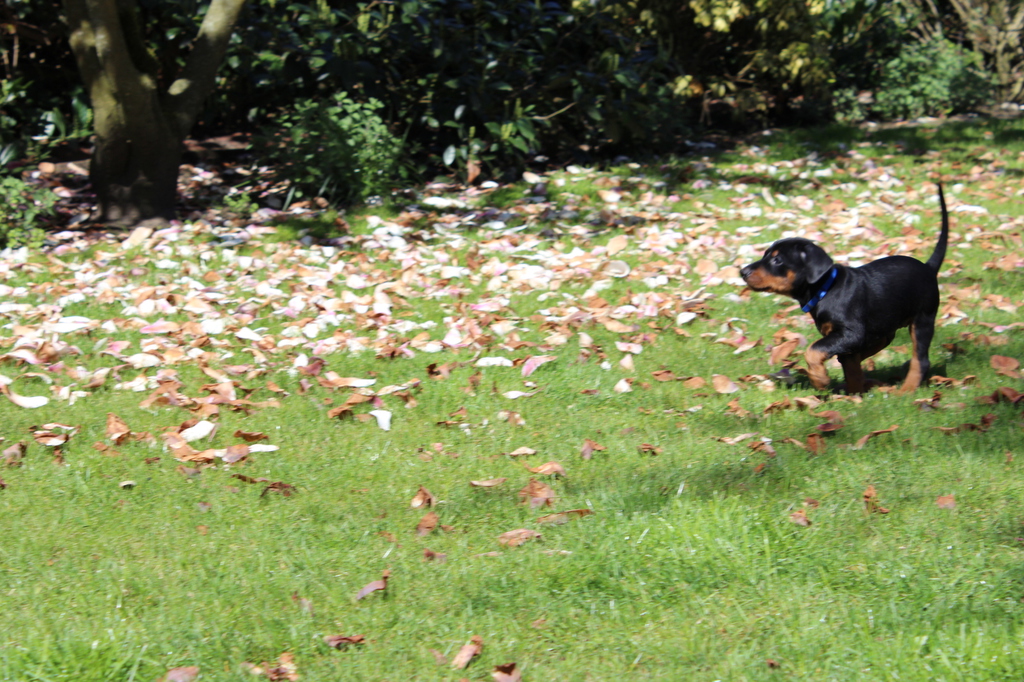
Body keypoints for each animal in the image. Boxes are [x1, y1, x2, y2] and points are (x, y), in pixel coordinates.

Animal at [740, 184, 949, 394]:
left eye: (777, 259)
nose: (742, 271)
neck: (825, 290)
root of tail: (928, 267)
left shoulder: (850, 333)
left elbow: (813, 350)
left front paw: (820, 379)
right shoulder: (844, 338)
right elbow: (851, 366)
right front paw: (852, 394)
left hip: (922, 319)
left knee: (920, 360)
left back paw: (905, 390)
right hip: (884, 330)